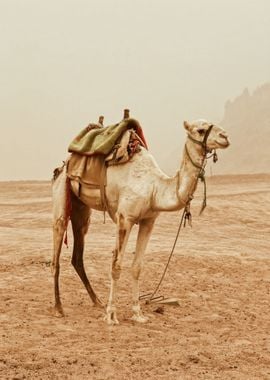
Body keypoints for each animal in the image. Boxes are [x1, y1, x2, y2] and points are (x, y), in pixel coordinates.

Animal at [51, 118, 230, 324]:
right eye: (200, 130)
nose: (225, 136)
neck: (154, 187)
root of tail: (64, 164)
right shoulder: (124, 218)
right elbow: (116, 265)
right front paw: (111, 315)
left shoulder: (148, 221)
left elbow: (137, 267)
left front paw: (137, 313)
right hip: (61, 194)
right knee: (57, 250)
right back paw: (59, 308)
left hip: (81, 209)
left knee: (78, 254)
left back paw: (97, 301)